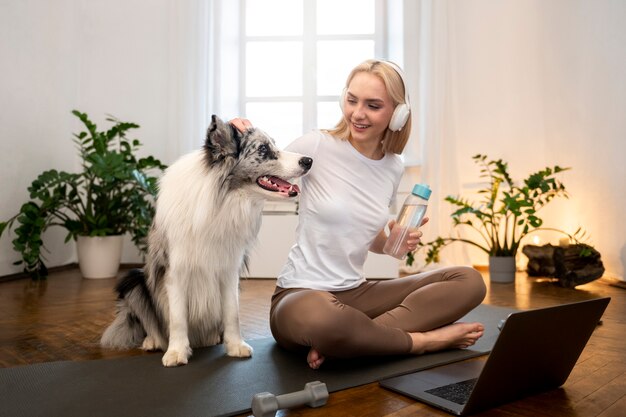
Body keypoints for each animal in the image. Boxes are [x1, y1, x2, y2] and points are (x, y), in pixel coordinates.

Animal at [102, 115, 312, 366]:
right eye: (263, 149)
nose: (309, 160)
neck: (221, 200)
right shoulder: (176, 271)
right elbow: (177, 317)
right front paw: (176, 352)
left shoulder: (229, 269)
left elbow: (232, 313)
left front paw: (235, 346)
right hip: (134, 281)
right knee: (149, 322)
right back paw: (152, 341)